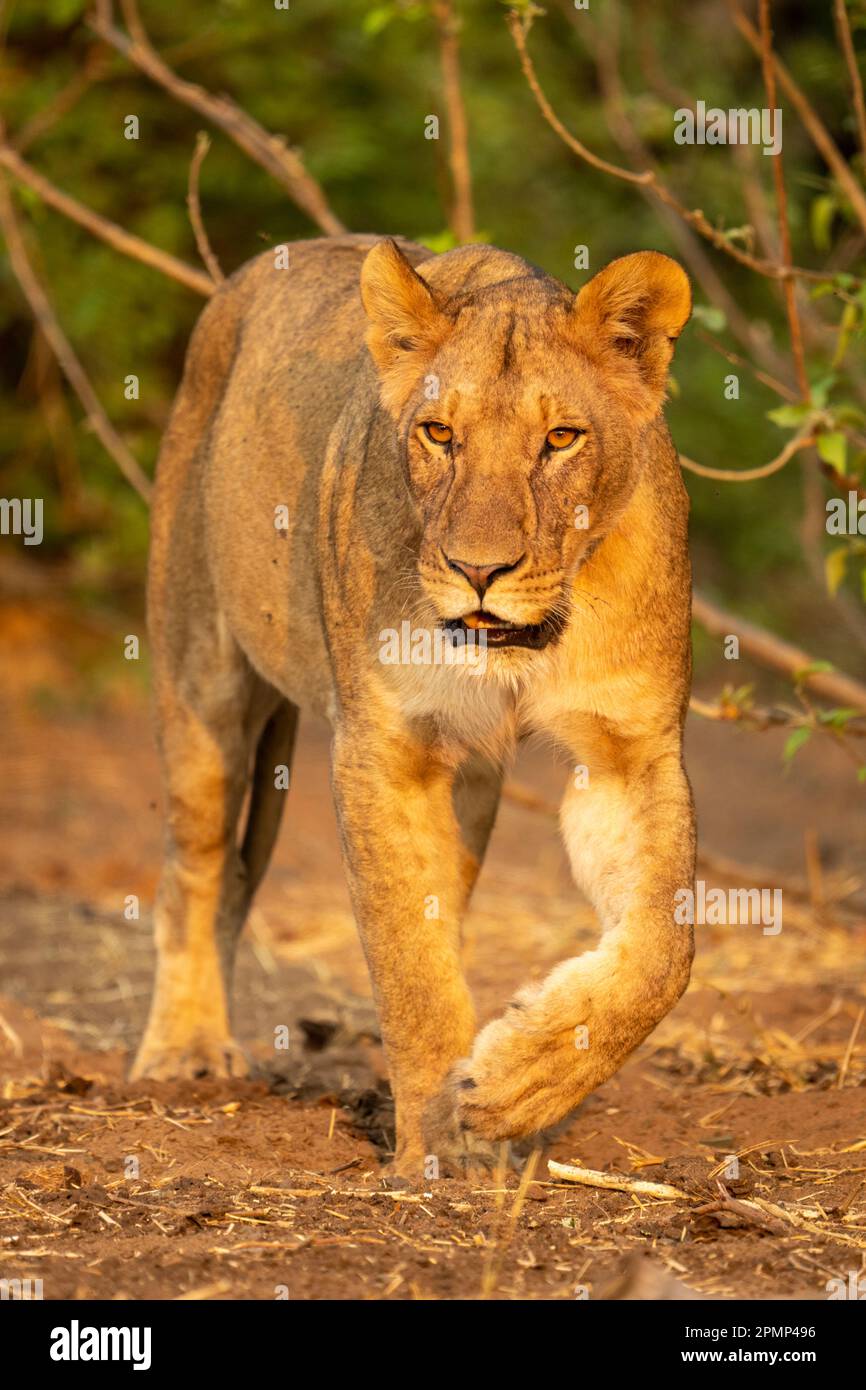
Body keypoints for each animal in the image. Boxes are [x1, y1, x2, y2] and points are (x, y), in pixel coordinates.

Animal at [132, 233, 696, 1181]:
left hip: (471, 786)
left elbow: (663, 950)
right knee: (196, 868)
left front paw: (518, 1081)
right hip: (199, 670)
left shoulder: (627, 749)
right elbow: (409, 965)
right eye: (439, 433)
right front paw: (439, 1143)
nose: (479, 570)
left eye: (560, 439)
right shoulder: (384, 746)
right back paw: (185, 1051)